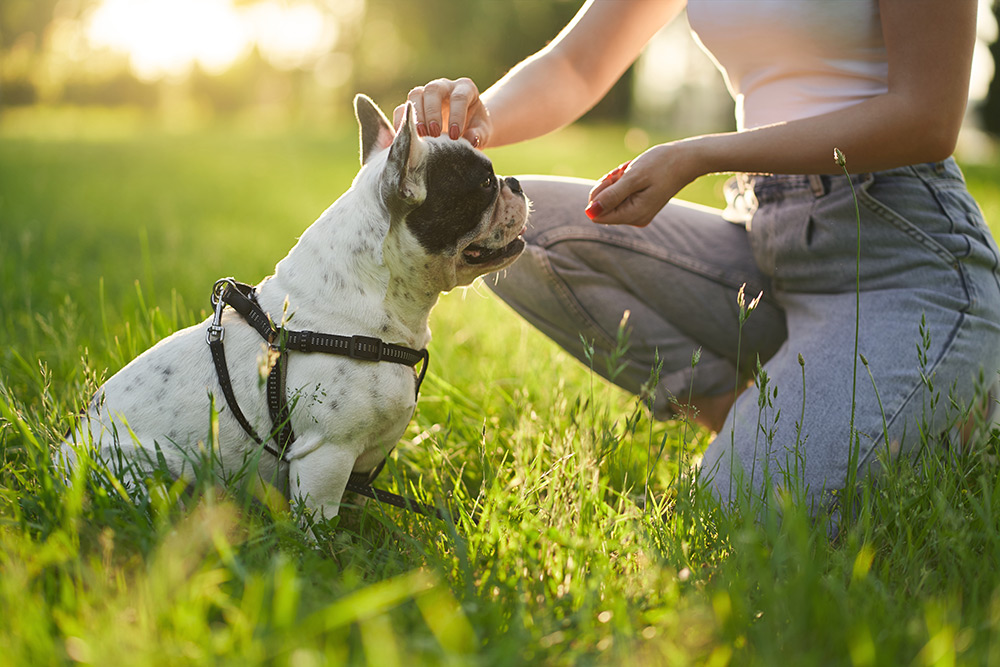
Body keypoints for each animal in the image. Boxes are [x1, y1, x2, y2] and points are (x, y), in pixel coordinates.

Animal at [60, 95, 532, 520]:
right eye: (484, 184)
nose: (515, 181)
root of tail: (61, 460)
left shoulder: (360, 466)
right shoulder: (327, 456)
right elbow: (320, 525)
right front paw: (328, 554)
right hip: (146, 475)